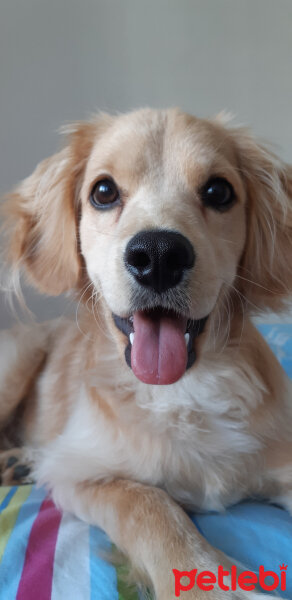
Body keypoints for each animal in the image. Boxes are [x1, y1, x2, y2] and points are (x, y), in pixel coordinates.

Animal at [0, 109, 292, 600]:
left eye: (218, 191)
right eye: (103, 192)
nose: (158, 255)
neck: (182, 392)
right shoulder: (75, 472)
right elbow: (150, 504)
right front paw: (208, 584)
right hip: (19, 357)